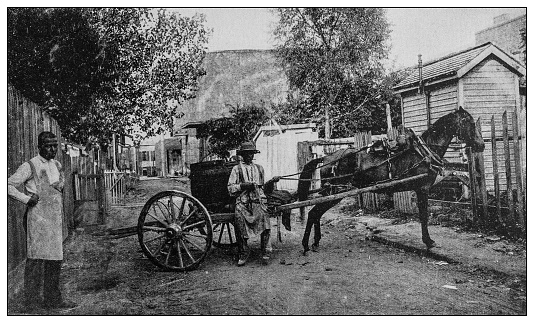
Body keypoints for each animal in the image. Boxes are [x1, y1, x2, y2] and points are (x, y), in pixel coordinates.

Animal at [300, 107, 488, 254]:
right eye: (470, 123)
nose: (482, 145)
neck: (424, 151)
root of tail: (327, 158)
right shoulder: (423, 189)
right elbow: (424, 216)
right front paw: (428, 241)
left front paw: (427, 240)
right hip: (335, 192)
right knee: (313, 213)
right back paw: (306, 244)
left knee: (316, 213)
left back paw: (315, 242)